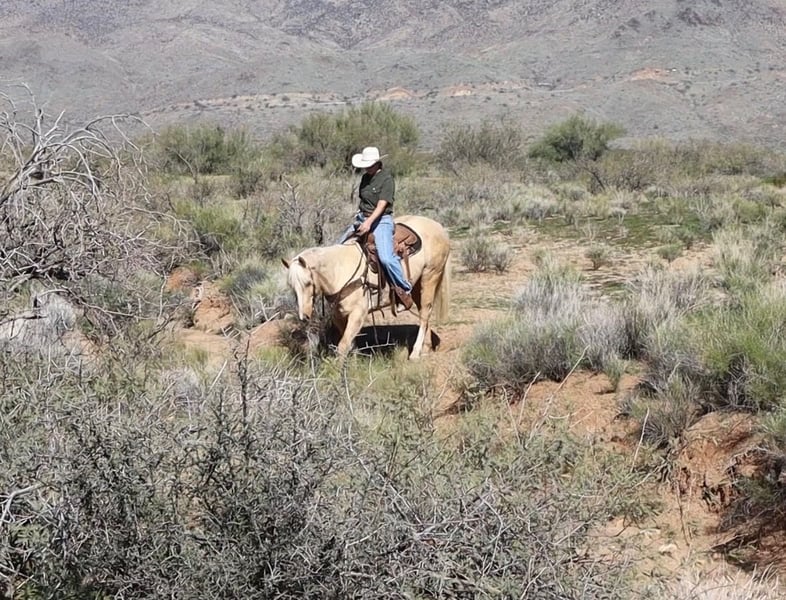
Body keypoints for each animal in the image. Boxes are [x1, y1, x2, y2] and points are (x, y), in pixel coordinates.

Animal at [282, 215, 450, 360]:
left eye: (307, 283)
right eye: (292, 286)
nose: (304, 316)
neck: (339, 271)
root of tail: (438, 226)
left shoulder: (358, 314)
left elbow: (343, 346)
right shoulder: (339, 315)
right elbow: (350, 345)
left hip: (430, 276)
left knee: (425, 312)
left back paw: (415, 353)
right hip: (417, 284)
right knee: (424, 312)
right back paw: (426, 347)